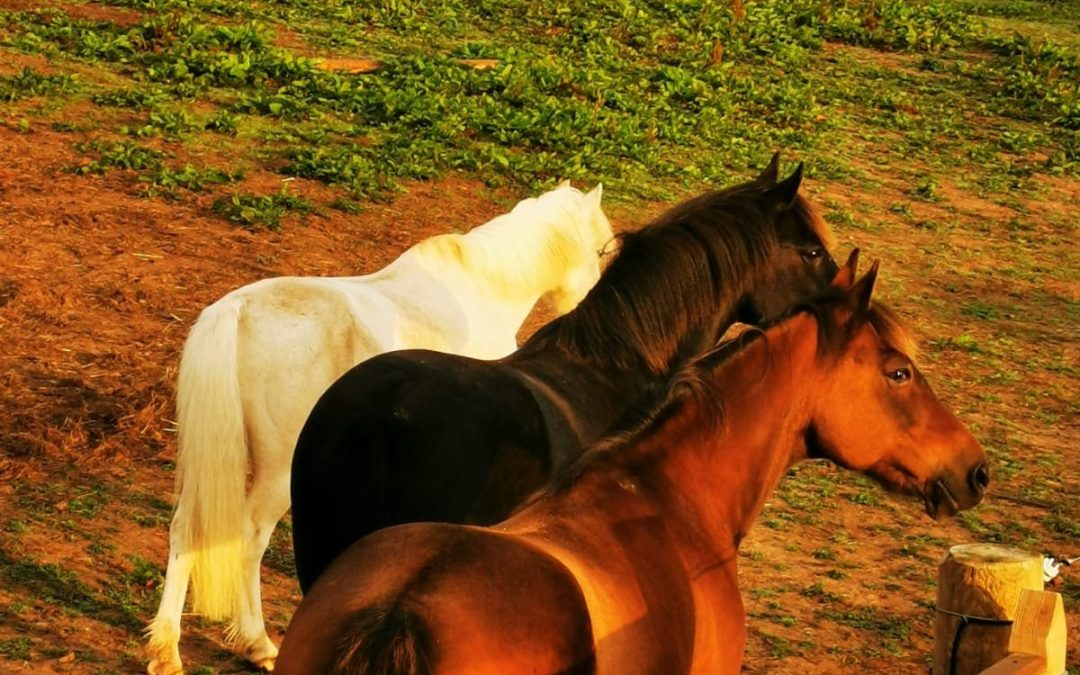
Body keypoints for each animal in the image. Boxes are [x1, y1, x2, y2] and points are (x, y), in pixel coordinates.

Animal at [145, 182, 614, 675]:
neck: (481, 289)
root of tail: (238, 310)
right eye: (603, 251)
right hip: (276, 472)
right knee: (248, 536)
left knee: (185, 530)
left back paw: (166, 650)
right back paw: (256, 642)